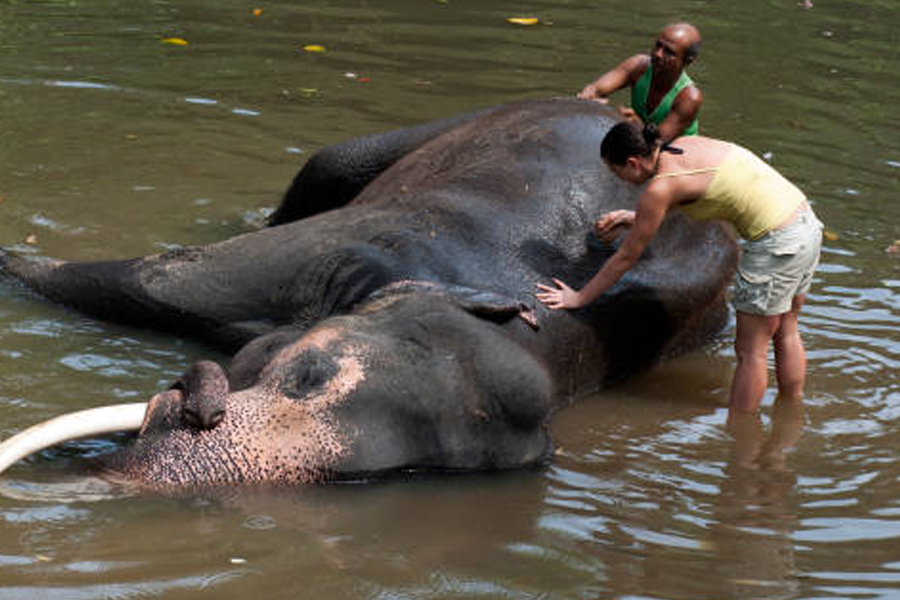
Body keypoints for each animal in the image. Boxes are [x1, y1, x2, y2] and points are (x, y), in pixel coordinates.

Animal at [0, 98, 738, 490]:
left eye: (393, 473)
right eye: (309, 373)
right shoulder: (351, 246)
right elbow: (149, 276)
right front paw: (12, 257)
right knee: (326, 165)